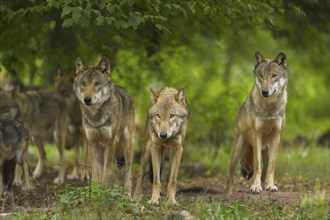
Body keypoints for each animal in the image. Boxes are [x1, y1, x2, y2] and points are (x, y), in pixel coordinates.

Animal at [73, 56, 135, 192]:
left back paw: (127, 194)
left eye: (97, 84)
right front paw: (96, 192)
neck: (96, 117)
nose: (87, 99)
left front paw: (104, 191)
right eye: (83, 84)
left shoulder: (110, 143)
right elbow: (97, 174)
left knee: (128, 174)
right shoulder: (92, 143)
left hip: (127, 147)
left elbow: (106, 172)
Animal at [226, 51, 288, 194]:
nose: (265, 91)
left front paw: (271, 186)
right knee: (230, 177)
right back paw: (228, 194)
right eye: (261, 75)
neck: (269, 108)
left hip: (267, 150)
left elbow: (271, 166)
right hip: (237, 153)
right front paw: (255, 187)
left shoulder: (276, 136)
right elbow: (257, 165)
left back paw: (265, 185)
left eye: (274, 75)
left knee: (265, 169)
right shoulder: (257, 135)